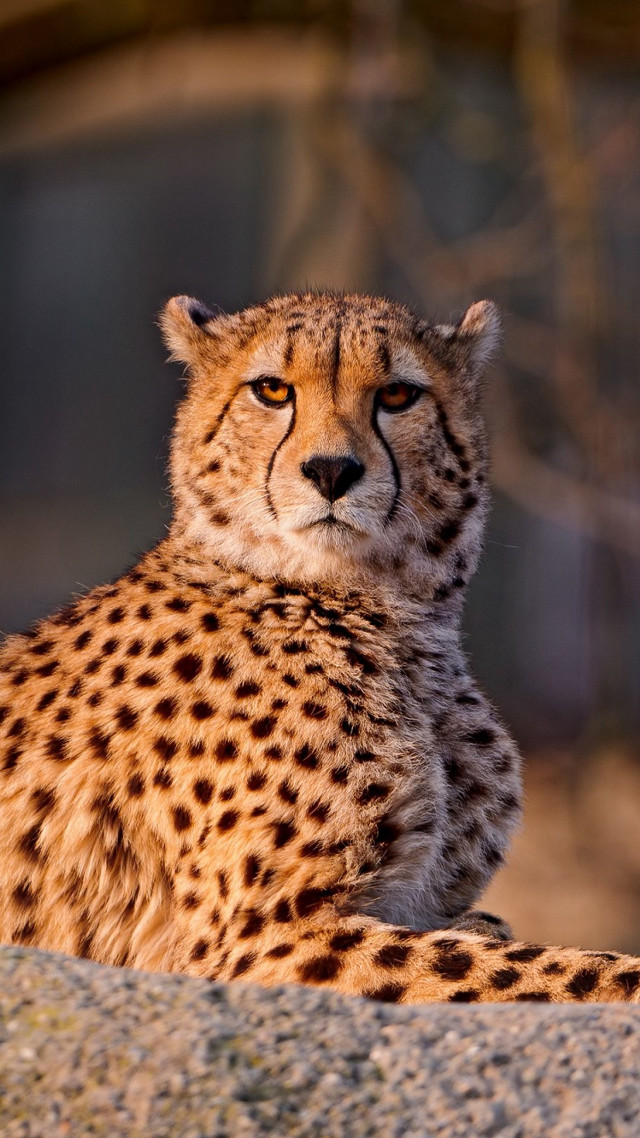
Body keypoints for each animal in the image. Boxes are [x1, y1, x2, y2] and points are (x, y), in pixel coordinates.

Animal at [0, 289, 639, 1005]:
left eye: (396, 395)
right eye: (272, 390)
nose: (332, 470)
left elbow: (500, 942)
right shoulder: (257, 939)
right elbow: (549, 969)